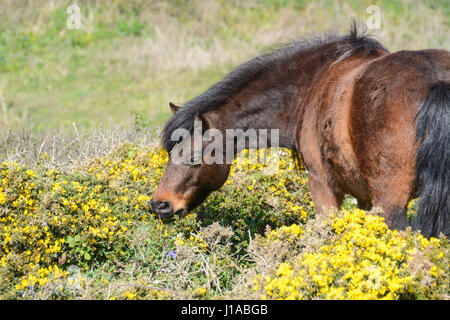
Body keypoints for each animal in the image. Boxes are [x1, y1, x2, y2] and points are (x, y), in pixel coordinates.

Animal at [152, 23, 450, 238]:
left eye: (193, 157)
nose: (159, 204)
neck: (311, 86)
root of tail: (436, 81)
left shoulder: (323, 186)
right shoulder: (363, 197)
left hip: (390, 204)